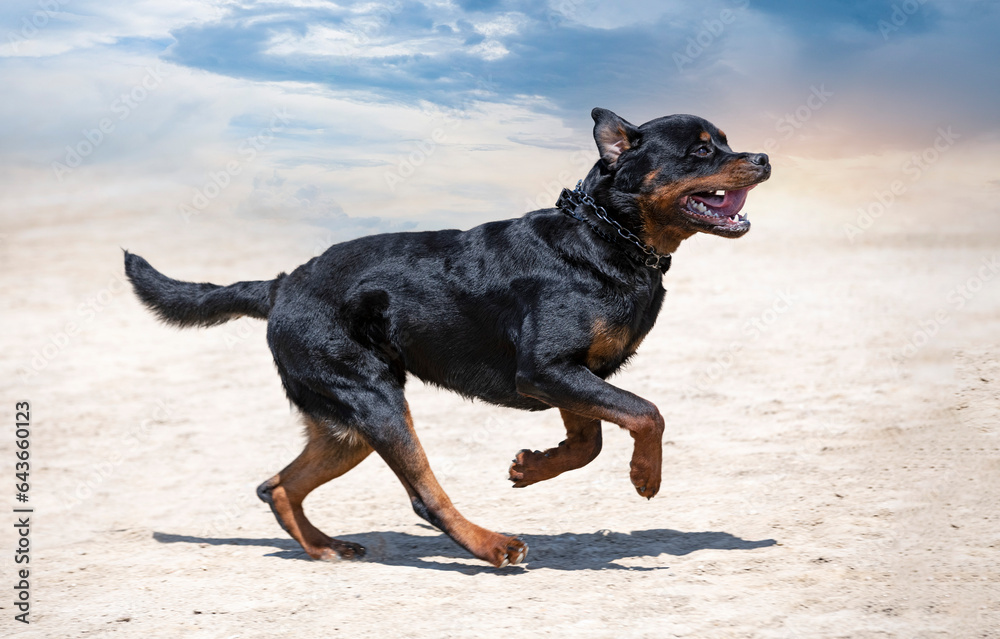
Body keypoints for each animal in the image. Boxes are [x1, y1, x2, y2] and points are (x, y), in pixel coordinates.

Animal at [124, 108, 770, 568]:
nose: (762, 157)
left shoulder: (571, 376)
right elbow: (646, 413)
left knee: (277, 485)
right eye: (701, 150)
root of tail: (282, 284)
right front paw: (645, 475)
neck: (606, 236)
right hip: (375, 401)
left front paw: (530, 468)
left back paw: (324, 546)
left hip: (344, 426)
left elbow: (589, 441)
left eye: (725, 140)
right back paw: (490, 546)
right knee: (422, 494)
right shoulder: (546, 370)